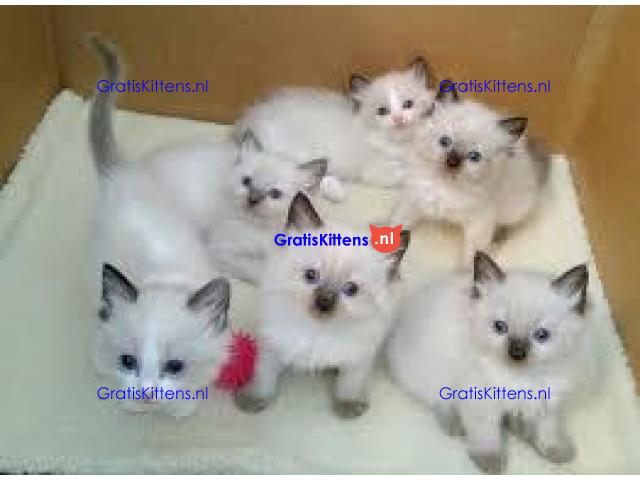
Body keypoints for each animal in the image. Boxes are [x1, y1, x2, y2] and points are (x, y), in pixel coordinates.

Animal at [89, 38, 233, 417]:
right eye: (128, 362)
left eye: (175, 367)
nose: (147, 394)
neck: (162, 276)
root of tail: (123, 175)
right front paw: (133, 406)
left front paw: (179, 409)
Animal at [233, 192, 410, 419]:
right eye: (311, 276)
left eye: (351, 289)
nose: (324, 303)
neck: (317, 330)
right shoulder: (273, 347)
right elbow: (264, 377)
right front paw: (254, 399)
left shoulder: (358, 357)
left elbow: (349, 384)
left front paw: (348, 406)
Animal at [235, 57, 435, 201]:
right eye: (382, 111)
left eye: (408, 104)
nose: (398, 118)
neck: (401, 143)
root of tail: (249, 119)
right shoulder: (375, 170)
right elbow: (405, 174)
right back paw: (337, 193)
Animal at [387, 251, 596, 473]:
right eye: (499, 327)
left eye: (542, 335)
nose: (517, 353)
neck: (520, 378)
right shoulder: (481, 403)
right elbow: (486, 435)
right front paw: (491, 463)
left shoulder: (546, 402)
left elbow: (548, 430)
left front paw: (556, 451)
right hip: (434, 375)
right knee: (440, 403)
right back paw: (457, 427)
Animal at [390, 81, 550, 265]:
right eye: (445, 141)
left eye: (474, 156)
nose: (452, 162)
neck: (444, 185)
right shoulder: (413, 200)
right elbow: (395, 224)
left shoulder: (478, 226)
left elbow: (469, 260)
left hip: (514, 210)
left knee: (506, 228)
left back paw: (496, 242)